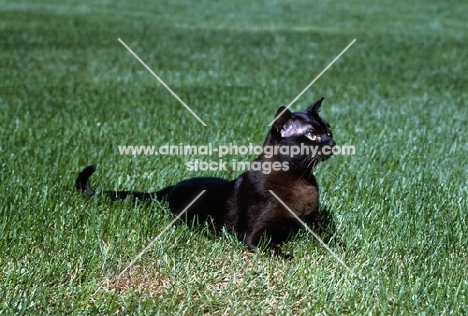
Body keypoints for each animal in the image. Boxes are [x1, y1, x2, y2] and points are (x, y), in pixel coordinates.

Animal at [76, 97, 336, 251]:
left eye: (329, 130)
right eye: (312, 135)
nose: (332, 142)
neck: (301, 179)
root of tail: (169, 188)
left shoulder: (313, 222)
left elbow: (332, 238)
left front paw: (341, 249)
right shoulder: (252, 235)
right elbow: (270, 248)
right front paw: (288, 256)